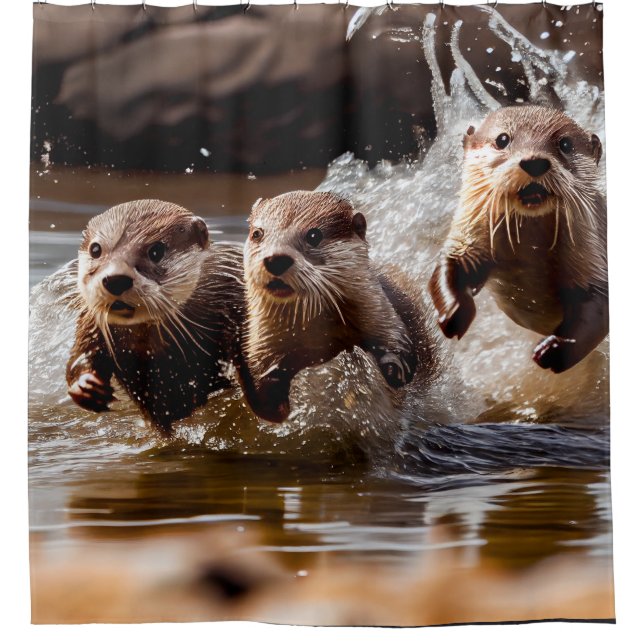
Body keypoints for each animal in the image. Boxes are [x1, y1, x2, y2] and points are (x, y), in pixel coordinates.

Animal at [66, 199, 246, 434]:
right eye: (95, 249)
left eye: (156, 251)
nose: (116, 278)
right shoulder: (91, 324)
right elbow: (80, 355)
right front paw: (85, 385)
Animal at [242, 190, 436, 423]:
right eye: (257, 233)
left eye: (314, 235)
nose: (276, 258)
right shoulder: (263, 342)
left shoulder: (380, 313)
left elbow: (399, 353)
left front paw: (393, 369)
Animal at [429, 105, 607, 373]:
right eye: (502, 139)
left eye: (565, 144)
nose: (534, 161)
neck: (529, 249)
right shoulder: (470, 238)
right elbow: (451, 266)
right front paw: (455, 311)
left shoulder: (593, 255)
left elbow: (598, 306)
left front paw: (555, 348)